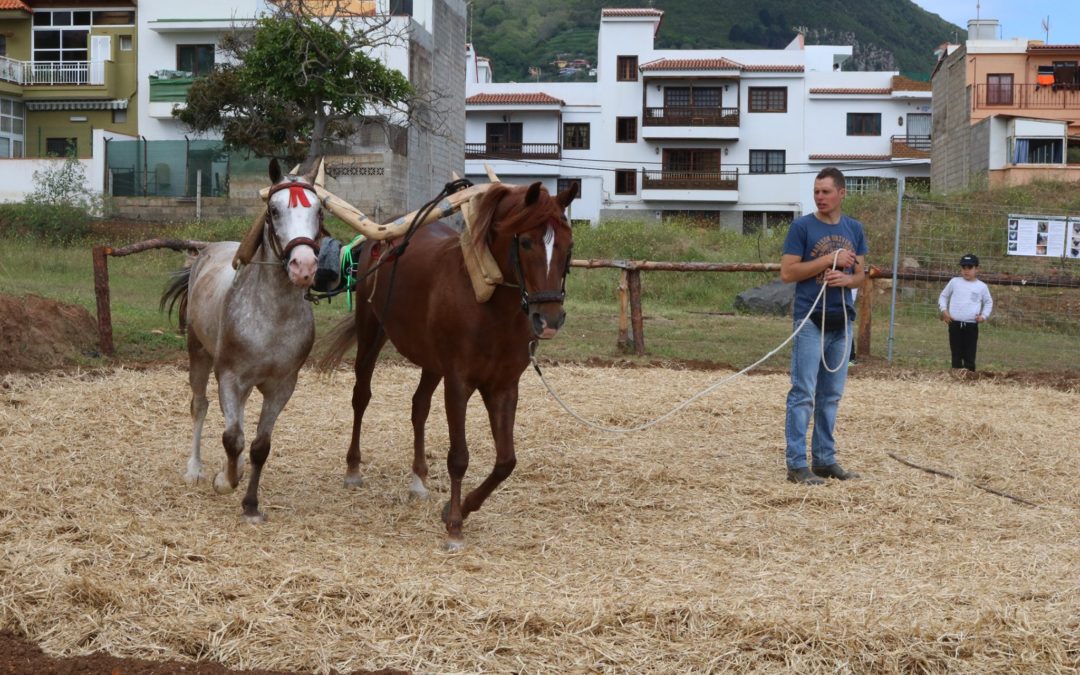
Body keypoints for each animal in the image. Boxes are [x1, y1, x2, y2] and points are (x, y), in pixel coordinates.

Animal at [317, 181, 578, 550]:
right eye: (526, 242)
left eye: (569, 245)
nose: (550, 320)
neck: (487, 299)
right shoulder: (458, 383)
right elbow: (459, 457)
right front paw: (454, 525)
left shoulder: (503, 387)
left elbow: (506, 461)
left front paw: (462, 508)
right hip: (371, 335)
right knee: (361, 397)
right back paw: (353, 469)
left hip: (431, 362)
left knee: (419, 406)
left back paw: (418, 478)